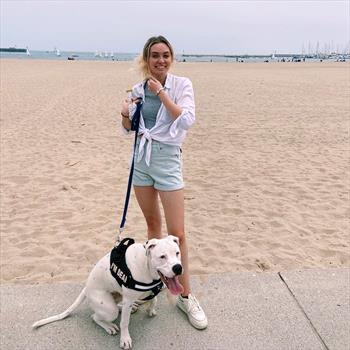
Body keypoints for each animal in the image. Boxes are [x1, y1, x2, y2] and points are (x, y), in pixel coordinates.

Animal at [33, 235, 185, 350]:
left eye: (177, 253)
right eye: (162, 256)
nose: (178, 268)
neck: (147, 266)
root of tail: (86, 288)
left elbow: (154, 298)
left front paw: (151, 308)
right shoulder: (129, 299)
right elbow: (124, 322)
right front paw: (125, 339)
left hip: (118, 295)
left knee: (117, 308)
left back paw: (125, 308)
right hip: (108, 309)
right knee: (95, 316)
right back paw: (109, 326)